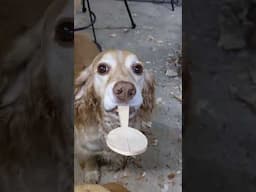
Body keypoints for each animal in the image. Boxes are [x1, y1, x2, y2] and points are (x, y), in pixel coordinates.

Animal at [74, 49, 156, 183]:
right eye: (102, 68)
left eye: (138, 68)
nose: (125, 90)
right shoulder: (84, 147)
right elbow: (90, 160)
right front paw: (91, 174)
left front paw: (116, 165)